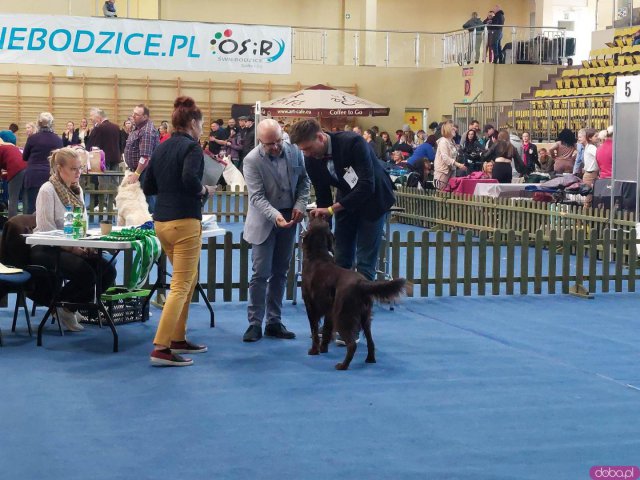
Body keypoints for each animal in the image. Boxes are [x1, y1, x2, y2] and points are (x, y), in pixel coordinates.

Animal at [302, 218, 408, 372]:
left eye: (311, 223)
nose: (318, 215)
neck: (318, 256)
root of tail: (361, 283)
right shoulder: (329, 310)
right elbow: (327, 330)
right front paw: (323, 349)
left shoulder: (311, 306)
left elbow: (315, 330)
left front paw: (314, 351)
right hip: (364, 317)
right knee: (370, 341)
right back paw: (370, 359)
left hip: (343, 315)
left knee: (352, 344)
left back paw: (343, 365)